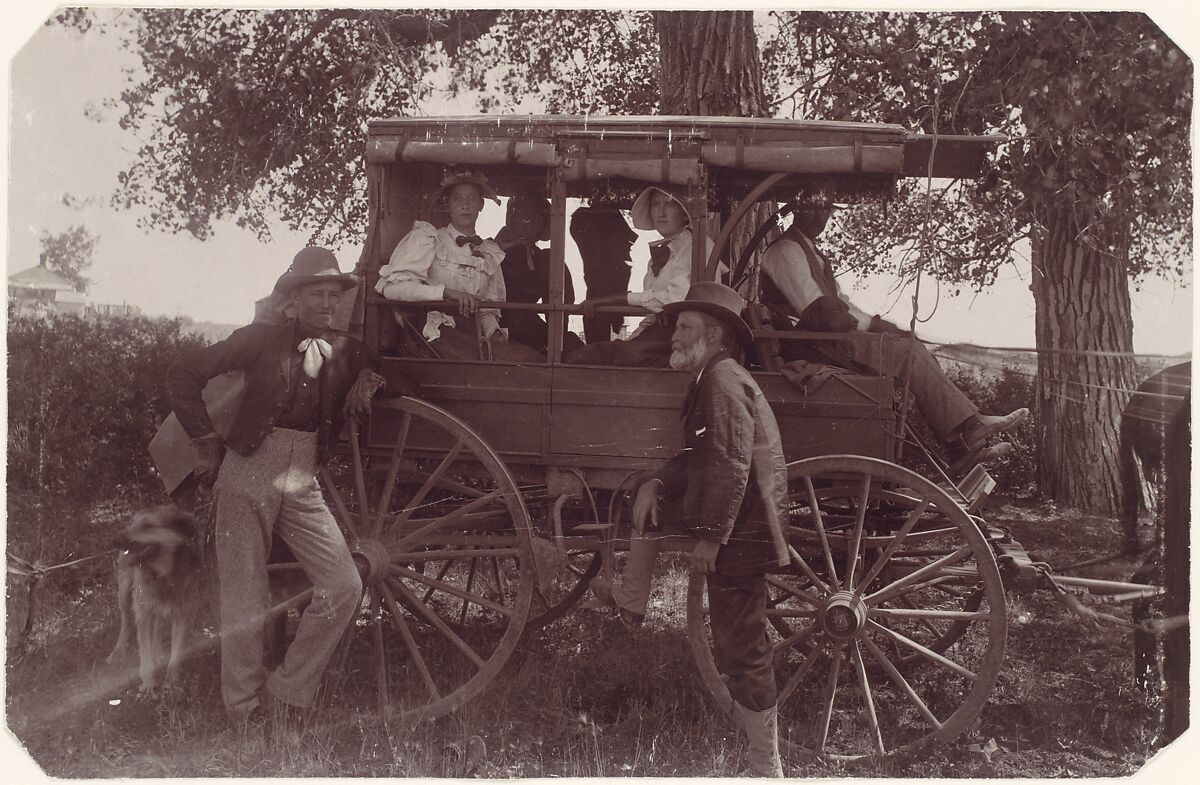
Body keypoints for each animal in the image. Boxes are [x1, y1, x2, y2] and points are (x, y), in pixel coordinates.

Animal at [108, 506, 204, 691]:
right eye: (132, 523)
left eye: (148, 526)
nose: (114, 539)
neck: (164, 574)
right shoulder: (143, 611)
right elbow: (144, 651)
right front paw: (148, 684)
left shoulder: (184, 611)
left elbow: (177, 650)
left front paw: (172, 680)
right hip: (125, 592)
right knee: (126, 622)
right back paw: (118, 651)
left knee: (158, 624)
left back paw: (158, 652)